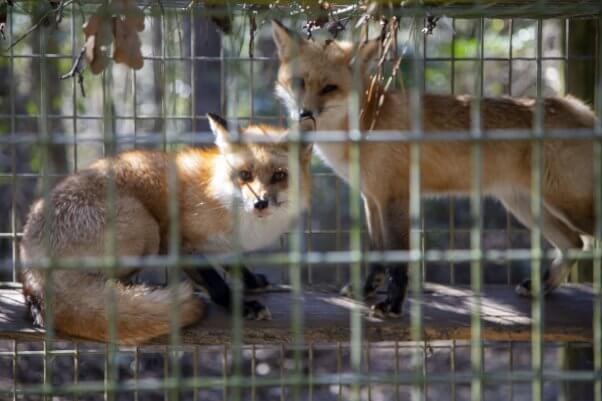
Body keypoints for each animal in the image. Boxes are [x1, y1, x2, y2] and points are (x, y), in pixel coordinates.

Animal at [21, 113, 312, 344]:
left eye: (279, 175)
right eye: (245, 175)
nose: (260, 203)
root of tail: (30, 265)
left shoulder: (224, 245)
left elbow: (234, 264)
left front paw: (252, 281)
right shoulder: (175, 240)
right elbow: (215, 284)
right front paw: (240, 306)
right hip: (147, 230)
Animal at [272, 21, 596, 316]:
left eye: (330, 88)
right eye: (299, 82)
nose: (304, 113)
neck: (365, 124)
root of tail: (579, 108)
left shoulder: (395, 198)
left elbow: (398, 259)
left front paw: (392, 305)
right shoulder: (372, 199)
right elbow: (378, 252)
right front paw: (366, 289)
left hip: (567, 206)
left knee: (581, 240)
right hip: (525, 206)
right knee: (574, 243)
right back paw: (544, 286)